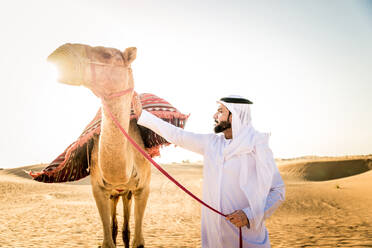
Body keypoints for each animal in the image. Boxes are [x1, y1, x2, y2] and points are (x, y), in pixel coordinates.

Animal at [47, 43, 150, 247]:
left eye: (106, 54)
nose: (59, 53)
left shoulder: (144, 188)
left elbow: (138, 242)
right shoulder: (98, 189)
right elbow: (107, 241)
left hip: (126, 193)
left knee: (125, 226)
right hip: (114, 193)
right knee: (116, 226)